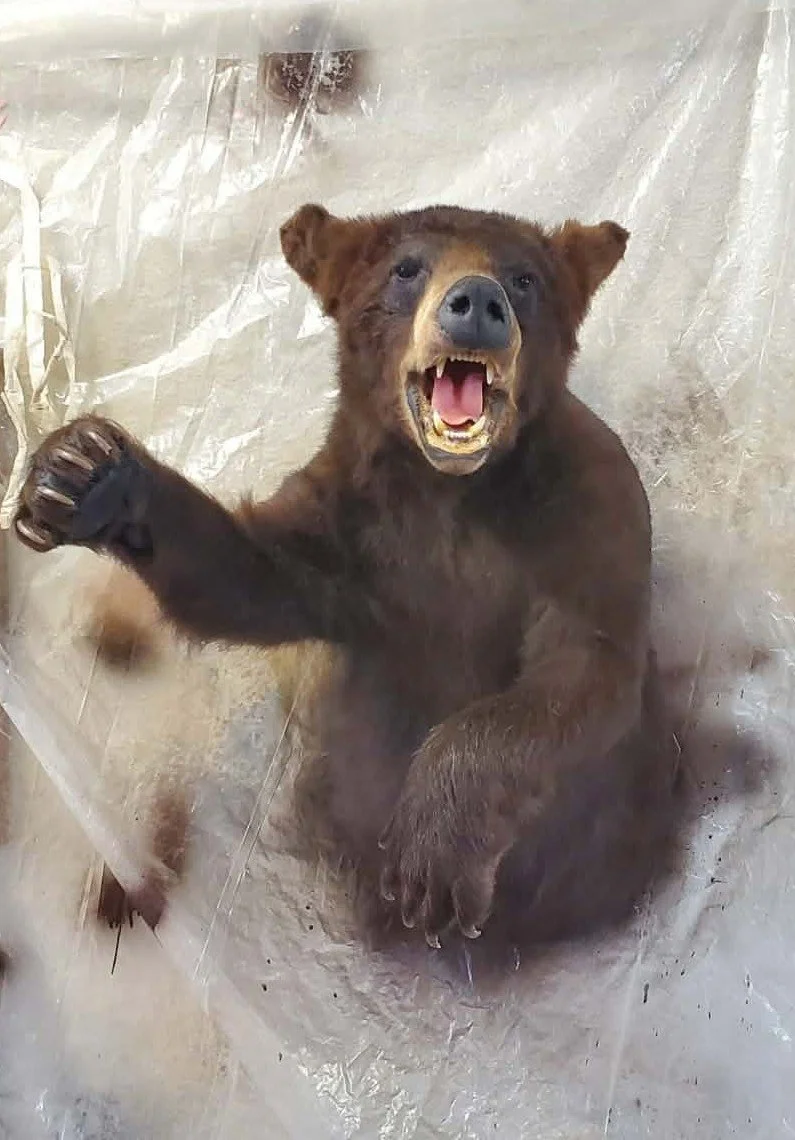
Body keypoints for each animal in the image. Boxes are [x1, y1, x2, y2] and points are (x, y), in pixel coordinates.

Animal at [13, 202, 678, 950]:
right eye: (406, 269)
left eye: (524, 278)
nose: (476, 302)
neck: (447, 493)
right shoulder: (353, 531)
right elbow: (251, 580)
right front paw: (85, 472)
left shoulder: (584, 511)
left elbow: (581, 666)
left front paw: (431, 858)